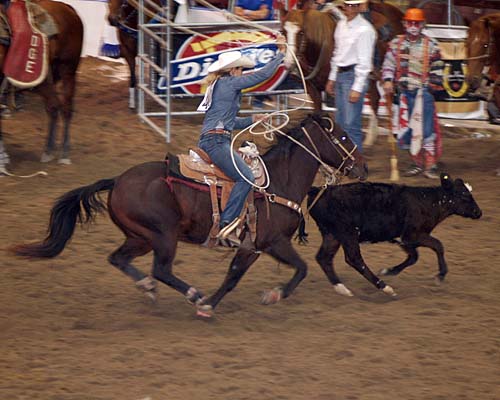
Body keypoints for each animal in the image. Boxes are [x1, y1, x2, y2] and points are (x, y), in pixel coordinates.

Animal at [0, 0, 83, 164]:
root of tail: (70, 9)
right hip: (45, 79)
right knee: (53, 106)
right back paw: (49, 150)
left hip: (67, 71)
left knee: (65, 108)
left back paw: (64, 153)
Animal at [13, 113, 370, 318]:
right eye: (342, 137)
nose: (363, 167)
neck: (277, 181)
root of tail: (117, 180)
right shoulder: (273, 241)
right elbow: (301, 268)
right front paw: (272, 295)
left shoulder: (251, 247)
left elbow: (233, 276)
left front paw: (212, 303)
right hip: (163, 235)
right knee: (161, 269)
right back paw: (190, 293)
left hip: (140, 237)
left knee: (118, 259)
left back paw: (149, 288)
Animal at [298, 173, 482, 296]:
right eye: (465, 195)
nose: (478, 212)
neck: (428, 202)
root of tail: (317, 190)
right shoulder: (413, 235)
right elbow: (438, 245)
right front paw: (440, 276)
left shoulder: (404, 240)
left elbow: (413, 257)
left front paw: (389, 270)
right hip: (347, 233)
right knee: (354, 259)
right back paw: (384, 287)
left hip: (332, 234)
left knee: (324, 258)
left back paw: (342, 288)